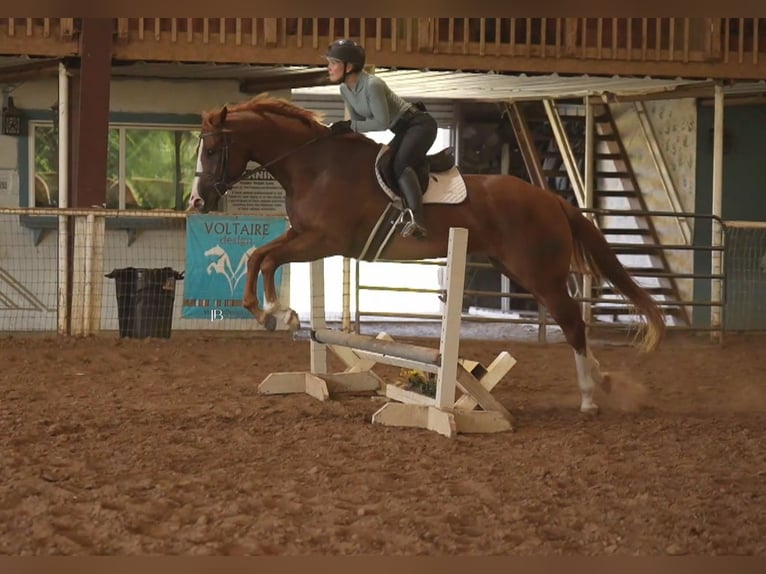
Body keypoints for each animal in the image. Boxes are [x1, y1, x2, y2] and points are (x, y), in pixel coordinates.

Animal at [189, 94, 665, 414]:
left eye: (211, 151)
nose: (197, 201)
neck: (314, 166)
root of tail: (551, 200)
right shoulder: (303, 235)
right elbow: (259, 256)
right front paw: (267, 311)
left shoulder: (323, 241)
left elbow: (269, 259)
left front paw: (278, 312)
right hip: (516, 266)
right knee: (573, 324)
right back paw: (602, 381)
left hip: (540, 274)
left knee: (573, 324)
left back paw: (589, 396)